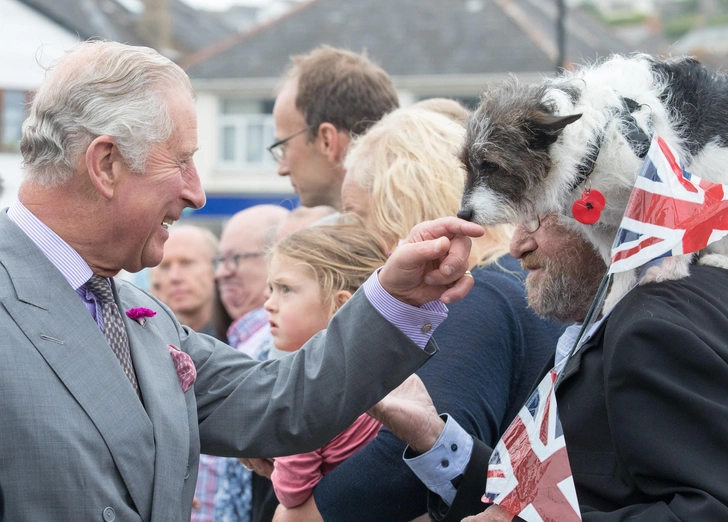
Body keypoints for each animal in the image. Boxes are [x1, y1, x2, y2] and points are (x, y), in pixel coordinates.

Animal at [460, 53, 728, 304]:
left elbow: (680, 232)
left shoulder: (674, 187)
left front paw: (669, 270)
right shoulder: (603, 227)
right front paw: (612, 302)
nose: (462, 215)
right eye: (466, 165)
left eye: (491, 165)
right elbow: (618, 266)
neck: (595, 147)